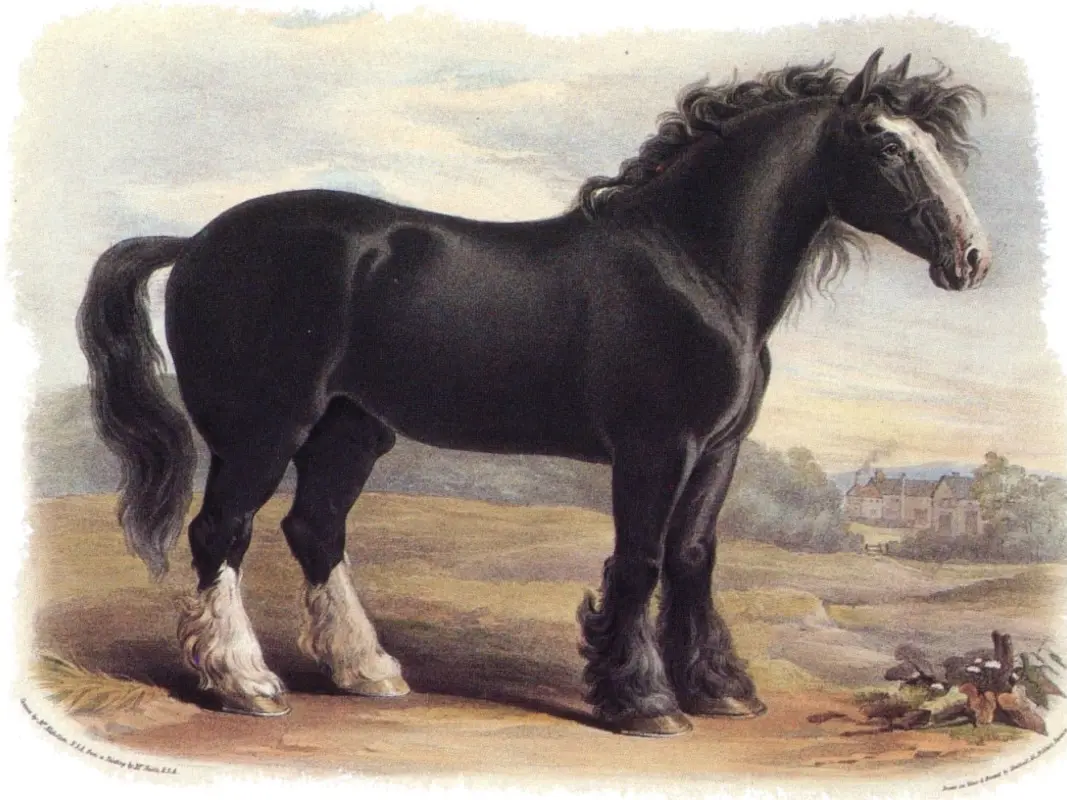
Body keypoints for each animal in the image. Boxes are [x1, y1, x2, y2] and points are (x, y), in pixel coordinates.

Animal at [77, 49, 990, 737]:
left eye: (928, 143)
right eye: (885, 145)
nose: (971, 259)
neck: (689, 265)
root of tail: (196, 241)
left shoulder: (716, 452)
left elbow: (692, 558)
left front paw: (719, 690)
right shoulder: (655, 449)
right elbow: (640, 561)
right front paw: (643, 702)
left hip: (351, 430)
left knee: (315, 529)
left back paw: (367, 670)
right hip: (265, 429)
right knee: (219, 532)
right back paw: (243, 683)